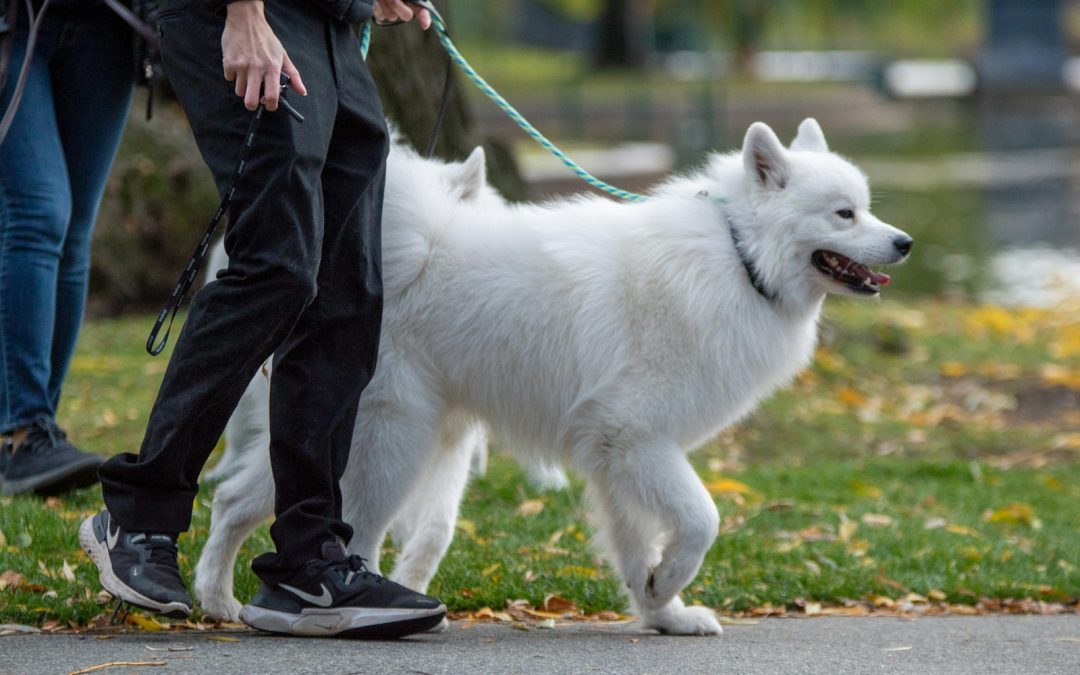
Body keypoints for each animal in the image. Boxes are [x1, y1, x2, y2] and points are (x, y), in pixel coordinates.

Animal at [194, 118, 911, 635]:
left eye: (868, 207)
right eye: (844, 214)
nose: (904, 242)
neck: (739, 255)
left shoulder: (616, 454)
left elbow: (635, 544)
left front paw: (661, 610)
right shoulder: (636, 438)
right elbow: (701, 521)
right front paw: (670, 584)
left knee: (235, 498)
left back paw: (219, 600)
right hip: (393, 439)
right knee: (348, 530)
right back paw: (362, 610)